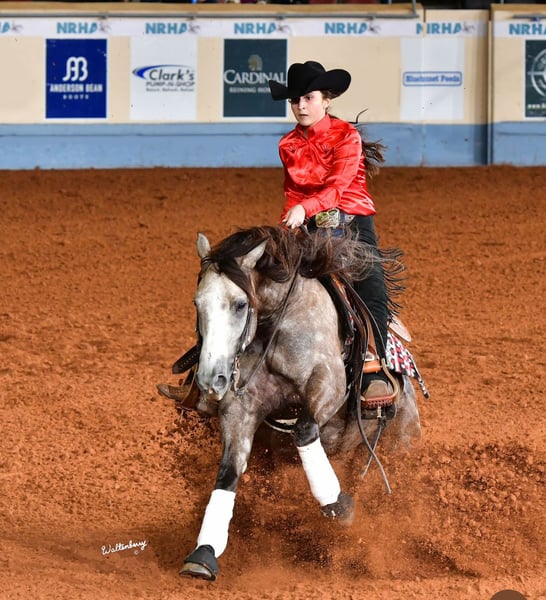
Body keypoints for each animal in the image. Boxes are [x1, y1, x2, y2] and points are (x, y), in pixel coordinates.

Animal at [176, 225, 425, 581]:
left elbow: (304, 429)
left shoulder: (328, 383)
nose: (213, 379)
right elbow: (228, 472)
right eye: (198, 304)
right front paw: (204, 552)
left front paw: (337, 505)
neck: (275, 325)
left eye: (240, 304)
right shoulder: (241, 407)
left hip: (400, 442)